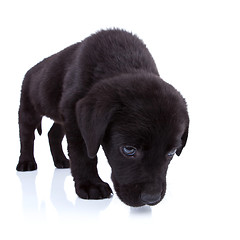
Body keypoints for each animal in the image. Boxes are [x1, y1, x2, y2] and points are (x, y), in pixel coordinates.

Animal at [16, 29, 189, 207]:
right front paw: (91, 185)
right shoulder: (74, 115)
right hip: (28, 109)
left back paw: (61, 161)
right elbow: (83, 154)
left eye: (172, 152)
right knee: (26, 136)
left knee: (53, 134)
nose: (151, 198)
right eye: (129, 149)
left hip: (60, 117)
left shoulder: (69, 115)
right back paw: (26, 163)